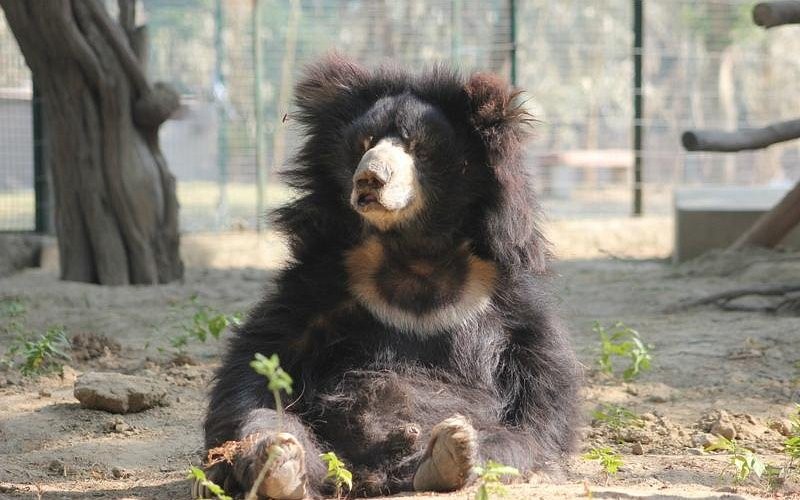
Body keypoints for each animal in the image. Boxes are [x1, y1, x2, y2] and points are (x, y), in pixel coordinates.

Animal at [198, 55, 581, 499]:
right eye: (365, 144)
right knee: (270, 422)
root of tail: (375, 476)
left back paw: (448, 457)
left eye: (418, 148)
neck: (415, 251)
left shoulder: (507, 298)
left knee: (507, 442)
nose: (370, 179)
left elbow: (543, 382)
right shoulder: (323, 280)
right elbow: (263, 355)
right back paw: (279, 465)